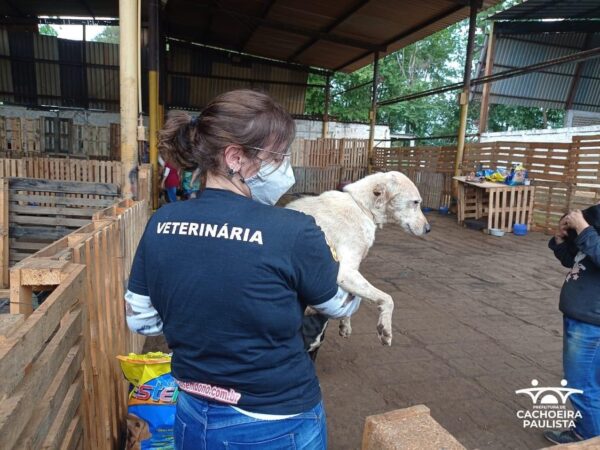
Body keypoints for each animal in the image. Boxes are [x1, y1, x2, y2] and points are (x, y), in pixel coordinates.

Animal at [288, 171, 428, 346]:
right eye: (415, 202)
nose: (428, 229)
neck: (361, 208)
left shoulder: (352, 273)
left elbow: (354, 297)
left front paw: (345, 324)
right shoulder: (344, 272)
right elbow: (388, 299)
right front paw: (385, 328)